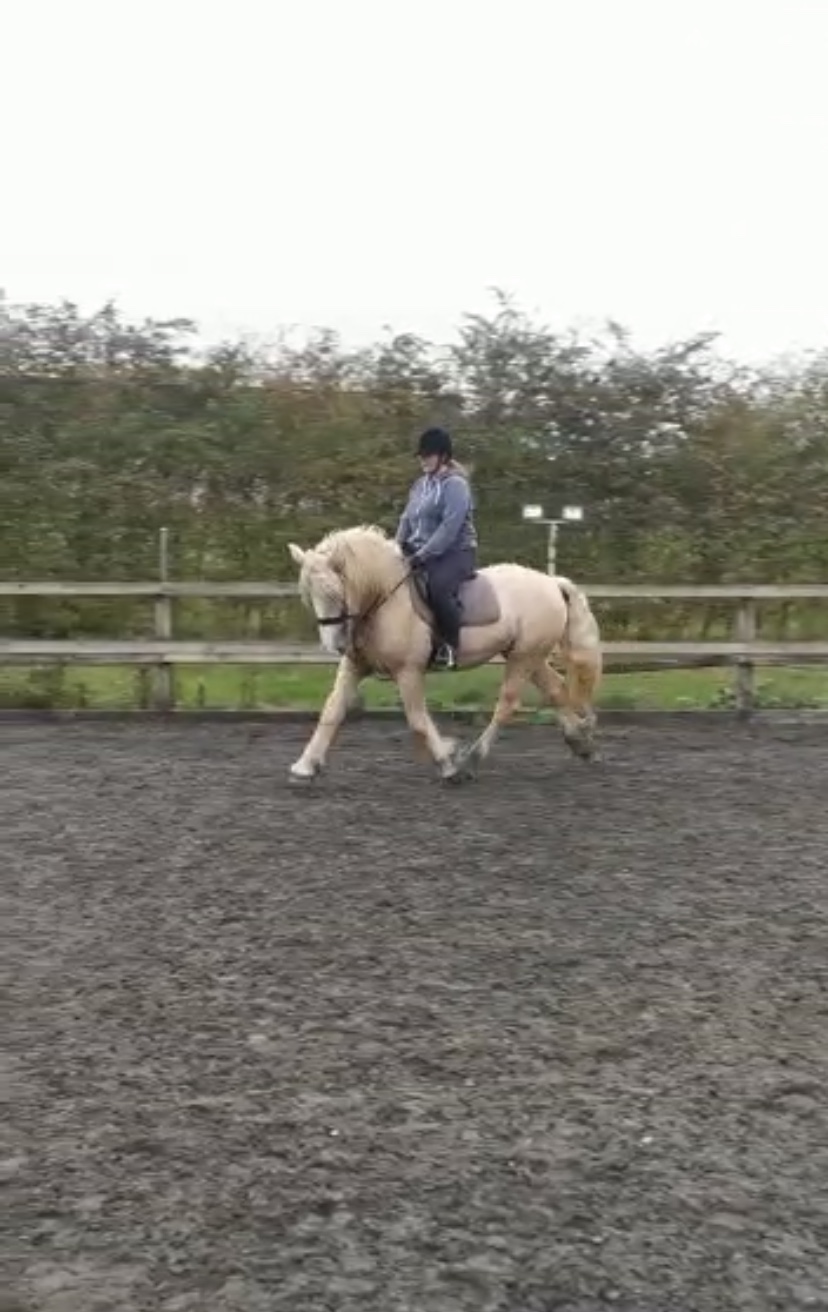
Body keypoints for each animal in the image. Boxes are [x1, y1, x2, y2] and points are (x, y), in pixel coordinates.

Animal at [286, 524, 603, 784]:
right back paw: (581, 742)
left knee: (507, 705)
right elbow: (332, 710)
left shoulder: (408, 671)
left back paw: (472, 760)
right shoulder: (354, 666)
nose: (336, 645)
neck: (385, 600)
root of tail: (552, 583)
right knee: (556, 689)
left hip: (523, 658)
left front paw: (447, 762)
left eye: (335, 592)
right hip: (528, 656)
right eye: (309, 595)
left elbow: (417, 720)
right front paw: (305, 766)